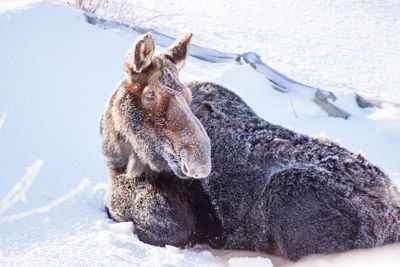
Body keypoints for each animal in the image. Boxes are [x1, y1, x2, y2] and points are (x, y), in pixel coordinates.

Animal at [101, 32, 400, 260]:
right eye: (151, 94)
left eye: (185, 95)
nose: (200, 162)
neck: (116, 157)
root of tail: (392, 206)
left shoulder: (161, 225)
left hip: (287, 190)